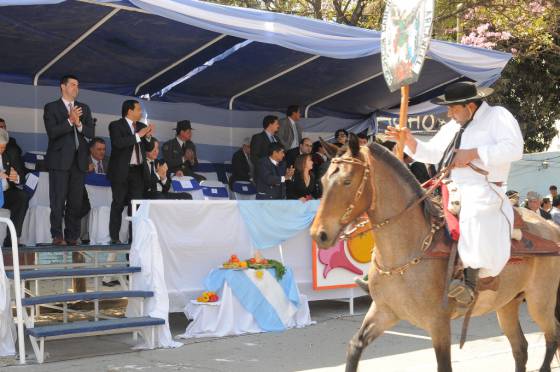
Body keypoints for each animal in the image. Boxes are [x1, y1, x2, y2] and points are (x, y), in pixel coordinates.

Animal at [308, 134, 560, 372]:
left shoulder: (438, 324)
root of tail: (551, 227)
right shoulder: (384, 311)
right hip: (507, 304)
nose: (319, 234)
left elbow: (444, 365)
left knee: (552, 336)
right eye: (323, 180)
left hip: (539, 301)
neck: (409, 250)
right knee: (521, 348)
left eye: (347, 181)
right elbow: (354, 347)